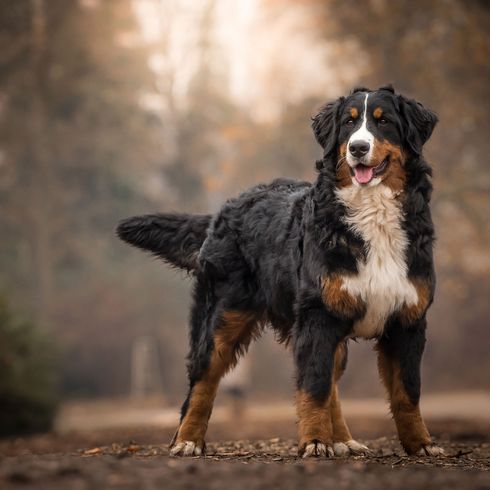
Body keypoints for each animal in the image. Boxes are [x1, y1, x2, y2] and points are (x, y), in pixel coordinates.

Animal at [117, 85, 444, 460]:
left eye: (384, 121)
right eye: (348, 124)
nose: (357, 148)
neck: (372, 215)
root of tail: (225, 209)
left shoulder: (407, 319)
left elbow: (407, 392)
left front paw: (421, 444)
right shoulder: (318, 317)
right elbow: (313, 387)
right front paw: (314, 442)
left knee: (331, 383)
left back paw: (342, 439)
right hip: (222, 317)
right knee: (203, 380)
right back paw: (187, 440)